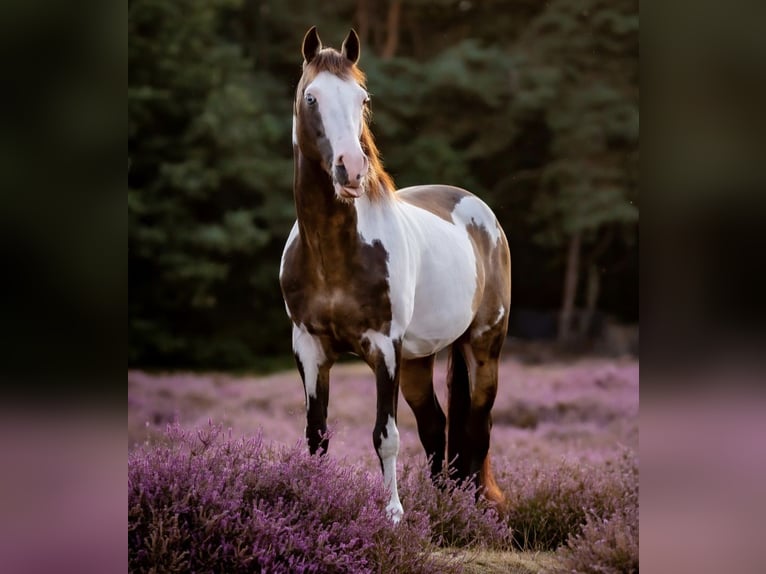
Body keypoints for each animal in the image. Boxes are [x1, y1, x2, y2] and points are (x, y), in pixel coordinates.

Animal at [279, 27, 511, 522]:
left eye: (362, 99)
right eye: (311, 97)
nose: (351, 168)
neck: (331, 251)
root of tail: (481, 213)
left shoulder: (384, 347)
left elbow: (385, 436)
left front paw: (393, 515)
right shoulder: (309, 347)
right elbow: (317, 434)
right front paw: (312, 500)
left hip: (483, 347)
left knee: (476, 428)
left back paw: (473, 512)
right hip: (419, 360)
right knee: (436, 425)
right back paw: (444, 503)